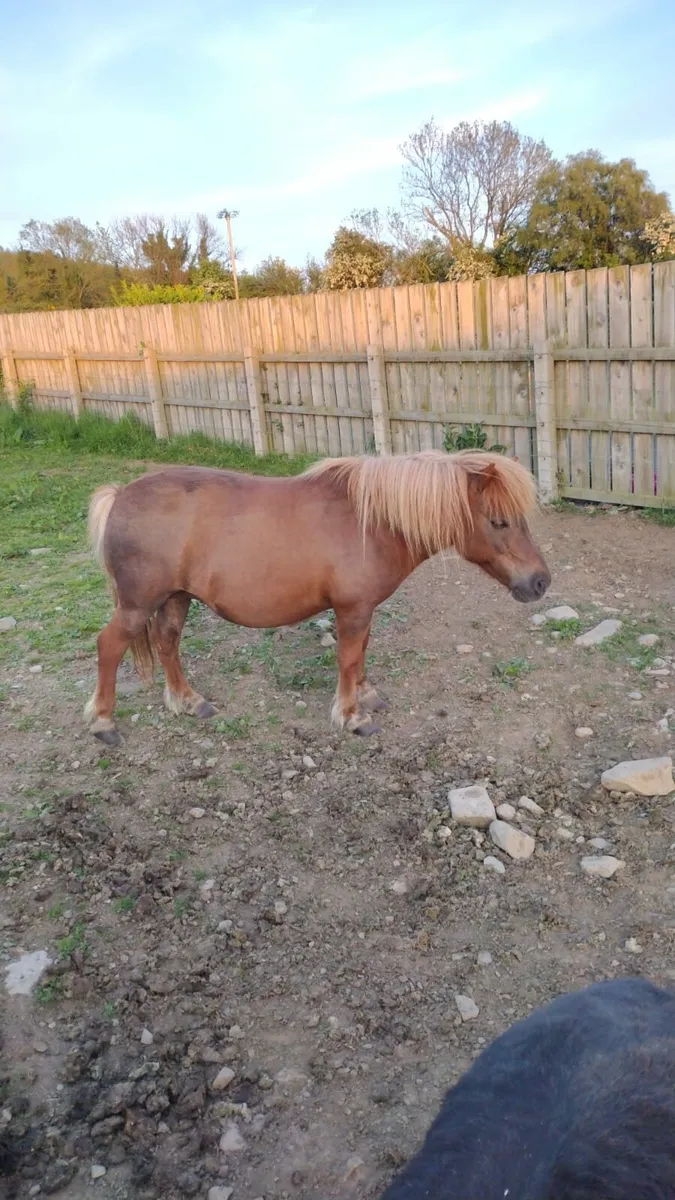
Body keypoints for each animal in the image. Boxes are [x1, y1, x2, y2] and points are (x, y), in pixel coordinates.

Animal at [84, 449, 550, 746]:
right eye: (499, 521)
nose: (541, 582)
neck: (371, 521)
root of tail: (121, 495)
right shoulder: (353, 609)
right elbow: (348, 658)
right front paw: (351, 716)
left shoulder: (363, 610)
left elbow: (361, 654)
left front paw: (365, 696)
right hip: (137, 605)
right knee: (109, 646)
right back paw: (104, 722)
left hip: (175, 598)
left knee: (167, 642)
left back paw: (188, 701)